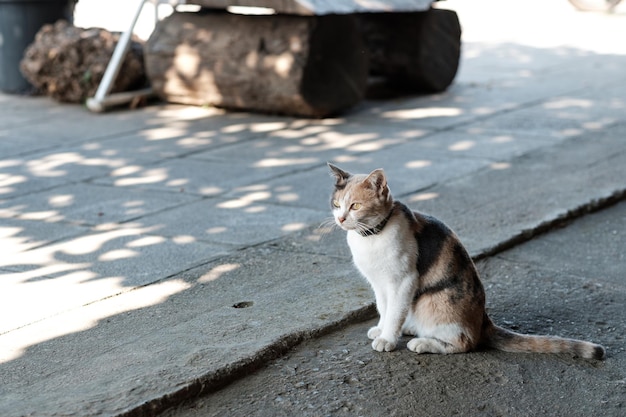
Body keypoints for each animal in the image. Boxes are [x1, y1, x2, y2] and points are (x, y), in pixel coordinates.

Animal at [326, 162, 604, 358]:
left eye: (355, 206)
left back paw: (422, 342)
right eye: (337, 204)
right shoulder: (379, 284)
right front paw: (382, 329)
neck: (372, 237)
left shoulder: (402, 281)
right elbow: (385, 309)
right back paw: (412, 329)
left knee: (463, 343)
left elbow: (394, 312)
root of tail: (484, 322)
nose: (340, 218)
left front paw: (387, 339)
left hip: (434, 302)